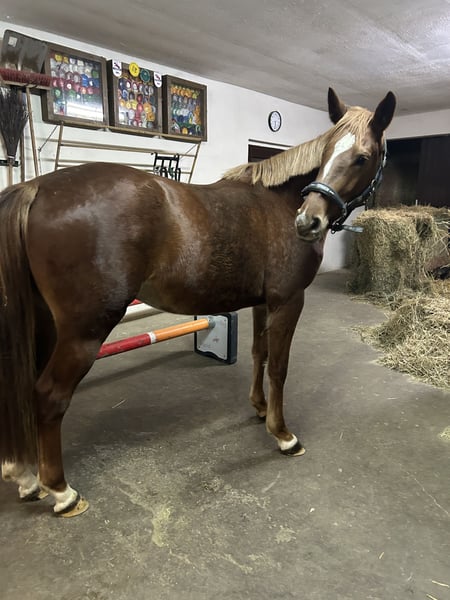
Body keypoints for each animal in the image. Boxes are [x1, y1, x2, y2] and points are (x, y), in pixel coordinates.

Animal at [0, 88, 396, 517]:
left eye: (361, 157)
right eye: (326, 154)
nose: (308, 222)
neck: (278, 203)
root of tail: (37, 188)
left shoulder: (262, 303)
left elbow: (259, 354)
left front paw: (259, 407)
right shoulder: (288, 301)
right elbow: (279, 367)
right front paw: (283, 434)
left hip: (42, 323)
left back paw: (25, 477)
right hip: (82, 332)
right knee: (48, 396)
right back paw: (60, 490)